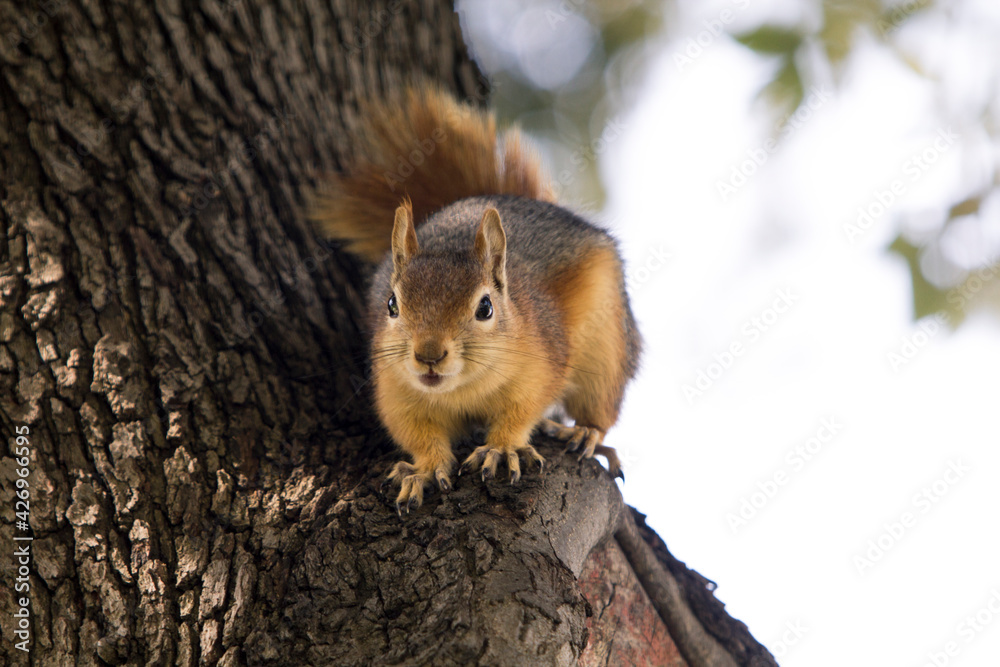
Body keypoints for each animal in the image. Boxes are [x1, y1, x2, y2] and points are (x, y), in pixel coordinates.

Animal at [311, 85, 641, 513]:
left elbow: (522, 410)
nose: (429, 355)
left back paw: (585, 433)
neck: (460, 391)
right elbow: (416, 433)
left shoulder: (541, 361)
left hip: (607, 343)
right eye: (391, 305)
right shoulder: (396, 390)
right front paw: (424, 469)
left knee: (601, 403)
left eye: (485, 307)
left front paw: (502, 448)